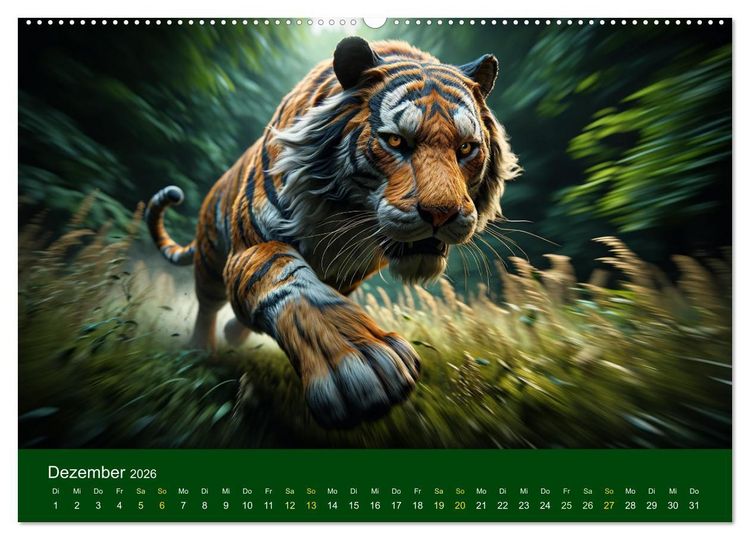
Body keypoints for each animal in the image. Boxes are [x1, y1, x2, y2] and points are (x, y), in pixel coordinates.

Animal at [146, 37, 520, 428]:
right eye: (396, 142)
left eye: (466, 148)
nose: (442, 213)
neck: (345, 216)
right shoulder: (251, 246)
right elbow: (290, 282)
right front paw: (362, 362)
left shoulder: (348, 274)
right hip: (209, 259)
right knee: (208, 304)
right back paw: (201, 349)